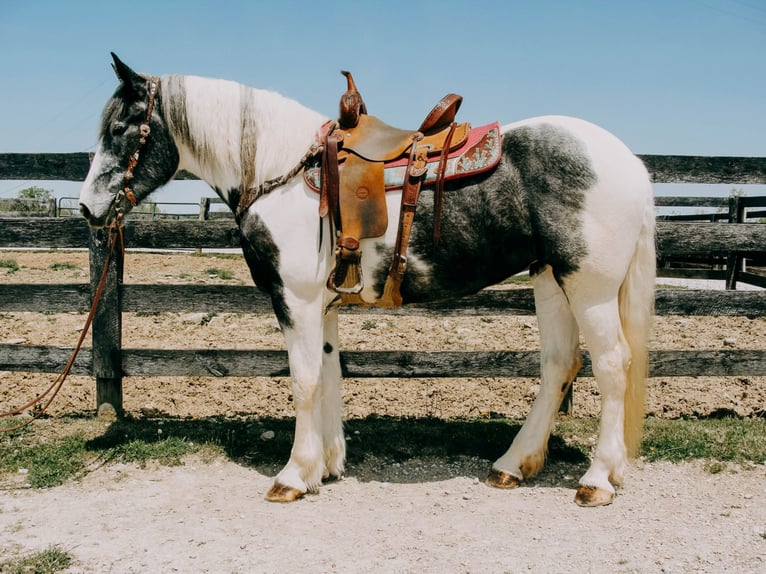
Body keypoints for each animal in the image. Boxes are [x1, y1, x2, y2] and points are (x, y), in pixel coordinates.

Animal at [78, 51, 656, 506]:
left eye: (121, 128)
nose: (87, 208)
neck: (282, 171)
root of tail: (628, 162)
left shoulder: (295, 301)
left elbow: (304, 380)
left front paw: (293, 474)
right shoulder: (323, 304)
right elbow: (330, 374)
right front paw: (327, 464)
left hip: (589, 287)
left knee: (611, 365)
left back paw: (598, 479)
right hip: (551, 281)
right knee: (560, 365)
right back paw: (514, 464)